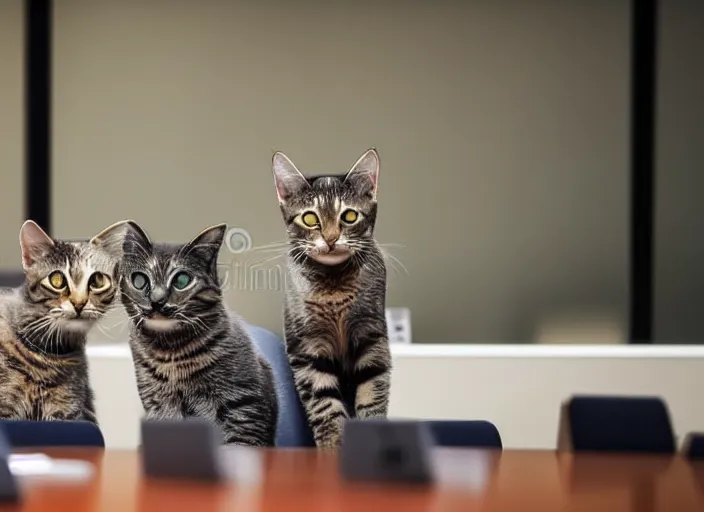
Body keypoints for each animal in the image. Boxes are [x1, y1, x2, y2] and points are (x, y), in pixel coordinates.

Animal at [118, 222, 278, 446]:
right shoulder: (159, 404)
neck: (171, 351)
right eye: (139, 280)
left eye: (182, 280)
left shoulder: (243, 406)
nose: (157, 301)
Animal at [270, 147, 390, 448]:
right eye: (310, 219)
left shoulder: (372, 337)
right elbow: (324, 405)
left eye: (349, 216)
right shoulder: (307, 348)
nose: (331, 238)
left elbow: (372, 394)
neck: (334, 287)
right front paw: (332, 447)